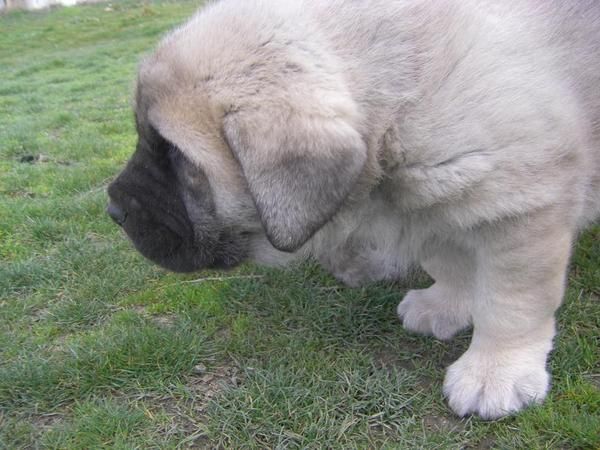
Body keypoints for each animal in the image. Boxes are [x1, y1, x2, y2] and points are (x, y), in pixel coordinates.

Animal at [108, 0, 600, 420]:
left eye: (175, 155)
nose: (113, 208)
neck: (399, 102)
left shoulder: (521, 210)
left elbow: (510, 302)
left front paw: (496, 371)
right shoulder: (434, 203)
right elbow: (451, 262)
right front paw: (446, 304)